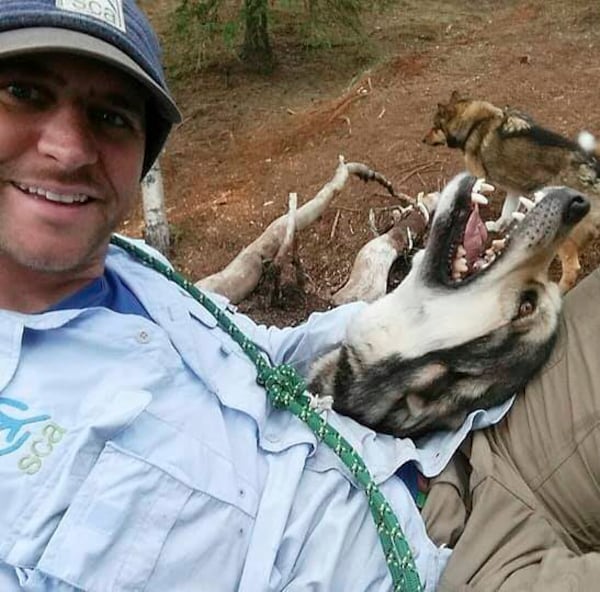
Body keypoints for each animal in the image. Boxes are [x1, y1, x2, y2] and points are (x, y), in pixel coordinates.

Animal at [422, 91, 600, 292]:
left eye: (435, 126)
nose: (423, 140)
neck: (475, 123)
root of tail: (590, 167)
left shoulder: (479, 180)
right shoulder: (514, 190)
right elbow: (506, 212)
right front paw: (497, 226)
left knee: (572, 269)